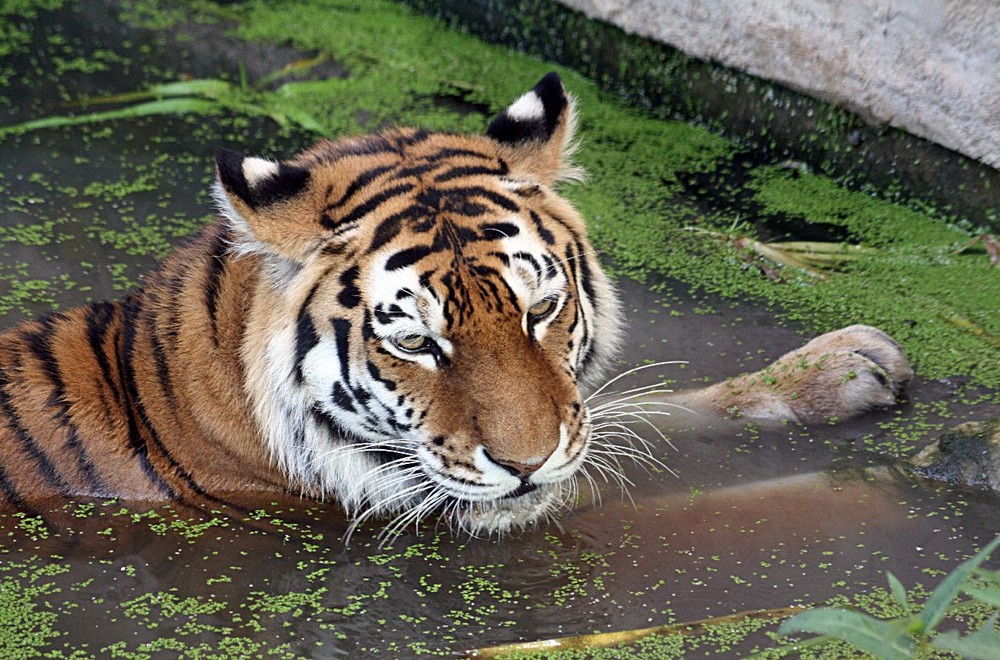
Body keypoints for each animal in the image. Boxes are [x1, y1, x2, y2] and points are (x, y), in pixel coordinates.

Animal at [0, 73, 912, 536]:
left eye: (541, 311)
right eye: (415, 344)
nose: (527, 465)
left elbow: (655, 410)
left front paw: (840, 368)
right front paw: (863, 493)